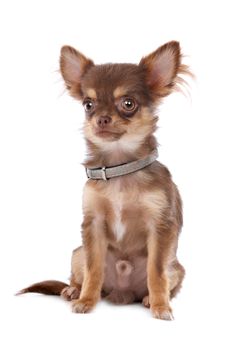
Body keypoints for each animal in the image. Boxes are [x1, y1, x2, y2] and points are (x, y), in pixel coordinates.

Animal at [17, 41, 188, 320]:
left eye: (128, 103)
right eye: (88, 104)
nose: (102, 118)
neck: (120, 168)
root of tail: (123, 293)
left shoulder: (160, 226)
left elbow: (156, 273)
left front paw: (161, 307)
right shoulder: (93, 226)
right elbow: (93, 270)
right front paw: (86, 300)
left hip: (177, 267)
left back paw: (149, 299)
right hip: (78, 252)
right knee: (79, 276)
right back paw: (73, 291)